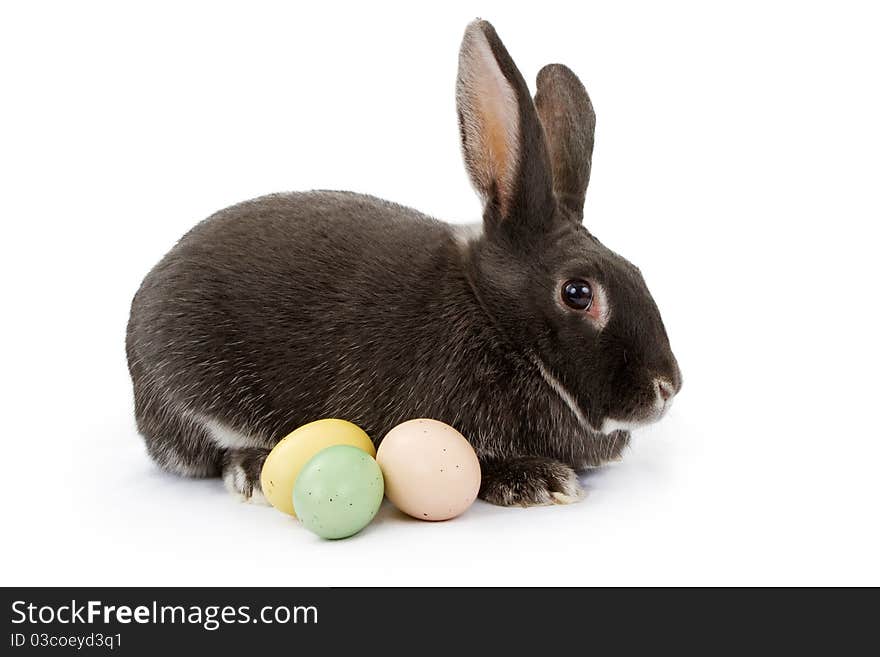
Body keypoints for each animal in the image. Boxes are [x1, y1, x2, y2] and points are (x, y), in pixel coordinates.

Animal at [127, 16, 684, 508]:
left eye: (637, 271)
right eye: (578, 293)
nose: (667, 387)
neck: (494, 318)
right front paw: (538, 482)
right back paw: (255, 467)